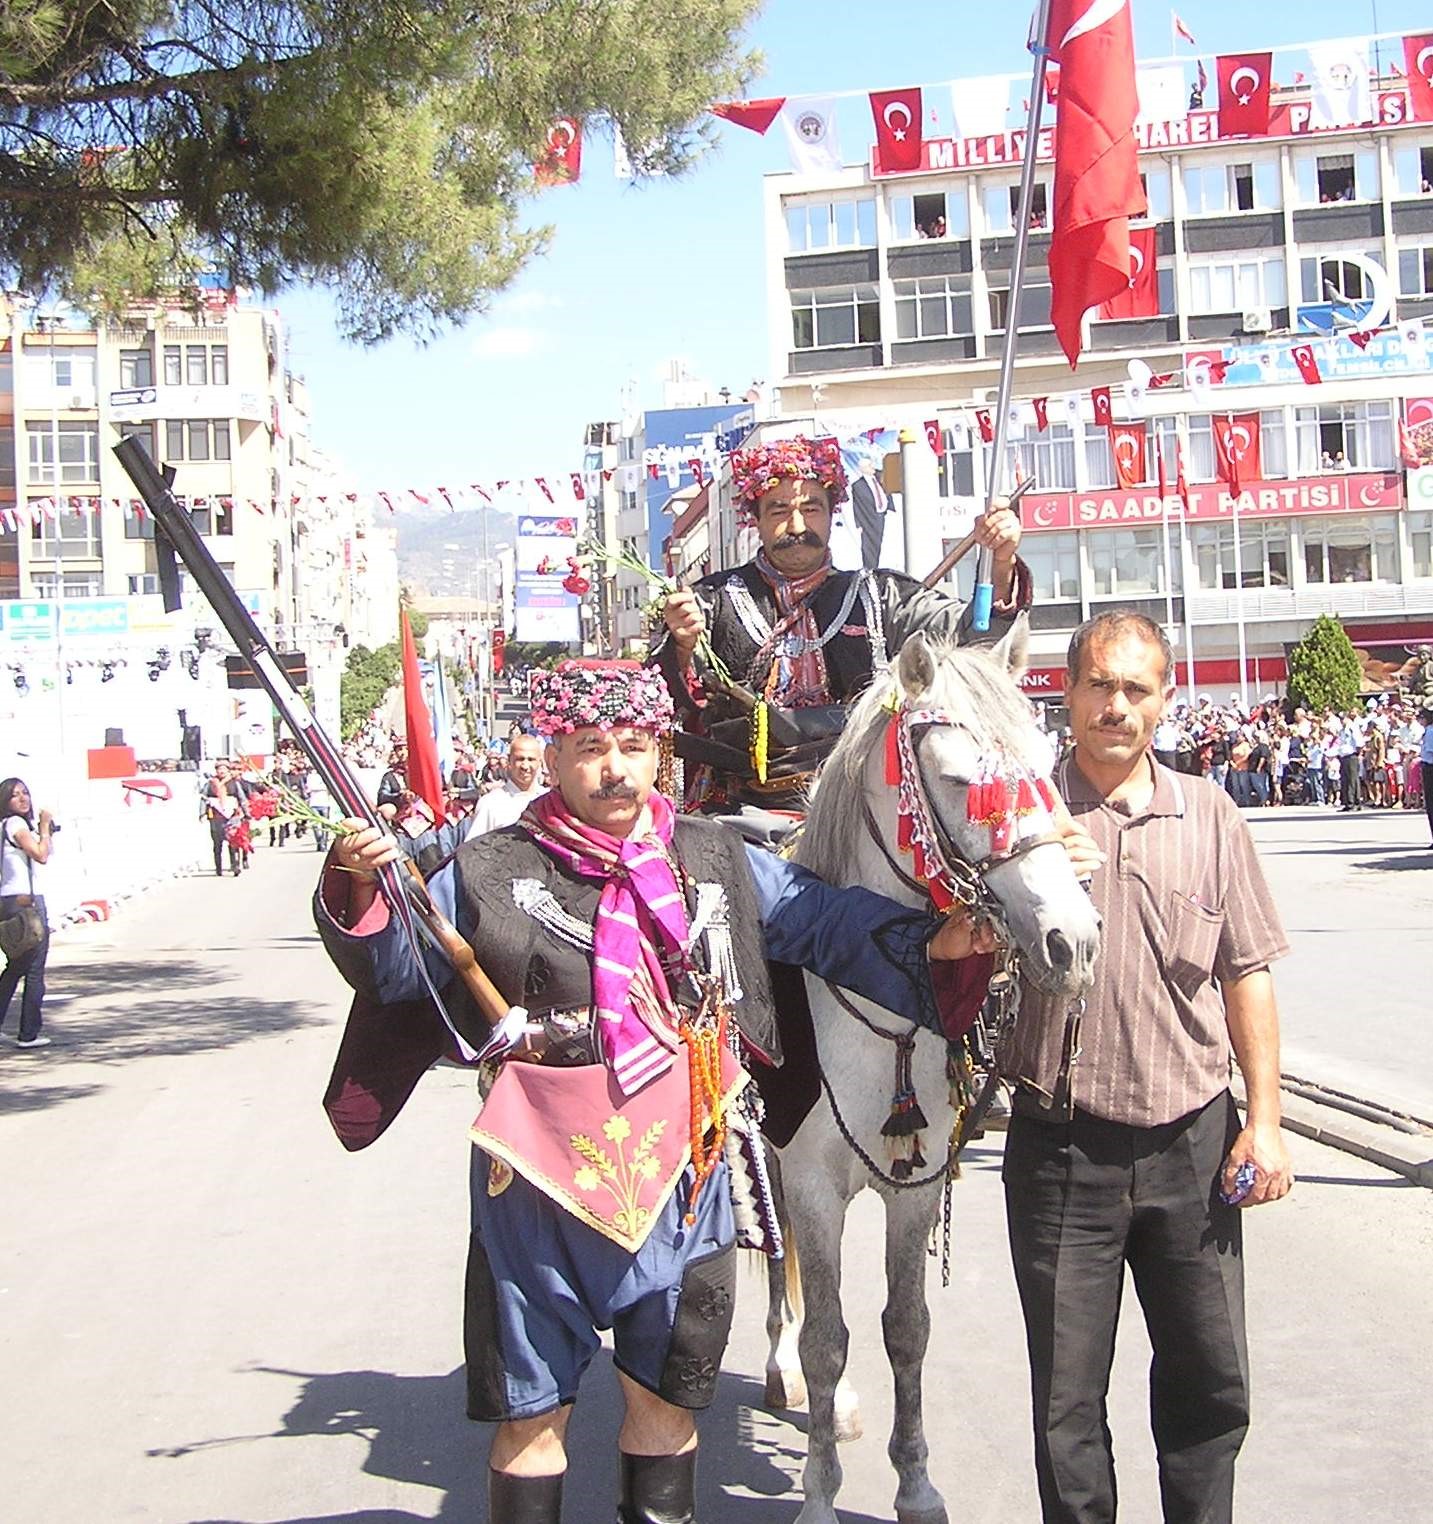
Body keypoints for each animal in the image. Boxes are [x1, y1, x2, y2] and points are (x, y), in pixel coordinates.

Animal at [771, 621, 1097, 1524]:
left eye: (1046, 759)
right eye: (957, 781)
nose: (1071, 941)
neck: (870, 967)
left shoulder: (913, 1184)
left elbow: (905, 1327)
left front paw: (915, 1485)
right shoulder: (810, 1178)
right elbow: (827, 1337)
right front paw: (818, 1493)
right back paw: (785, 1372)